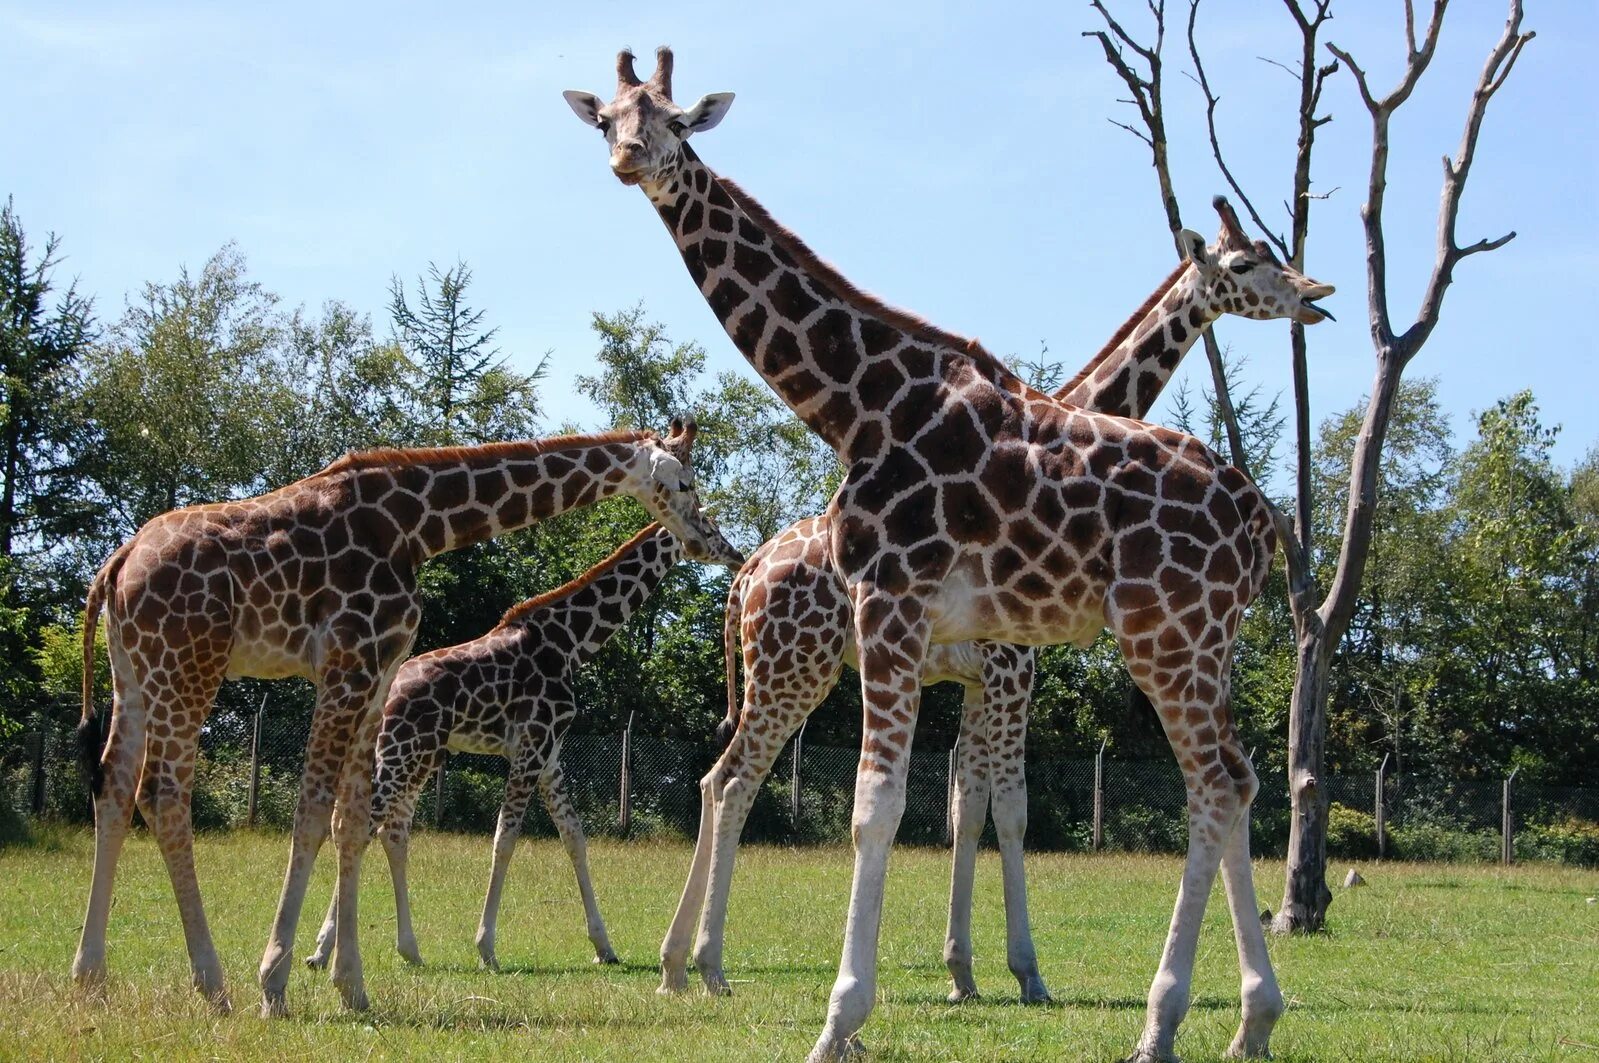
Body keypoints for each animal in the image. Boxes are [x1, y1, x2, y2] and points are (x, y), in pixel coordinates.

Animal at [67, 418, 732, 1016]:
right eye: (686, 482)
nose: (715, 544)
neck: (418, 525)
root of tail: (116, 564)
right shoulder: (354, 664)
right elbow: (316, 814)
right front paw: (276, 981)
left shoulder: (386, 673)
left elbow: (352, 818)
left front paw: (351, 984)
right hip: (191, 667)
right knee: (164, 794)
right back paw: (214, 983)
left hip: (134, 673)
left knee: (115, 786)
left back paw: (91, 977)